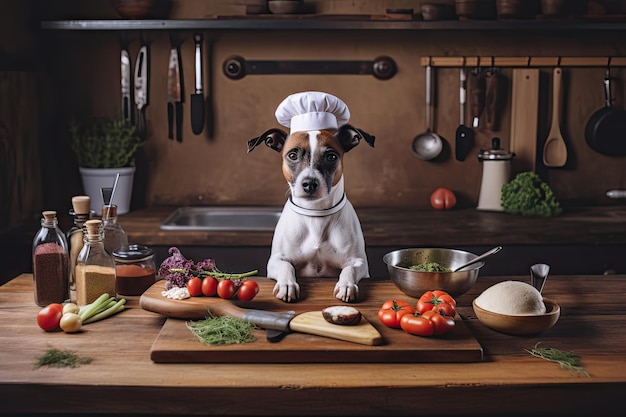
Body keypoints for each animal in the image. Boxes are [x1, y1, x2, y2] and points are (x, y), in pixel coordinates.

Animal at [246, 123, 372, 302]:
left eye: (331, 156)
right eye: (292, 155)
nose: (309, 184)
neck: (315, 213)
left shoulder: (359, 262)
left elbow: (350, 269)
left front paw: (346, 285)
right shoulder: (275, 260)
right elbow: (286, 265)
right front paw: (287, 285)